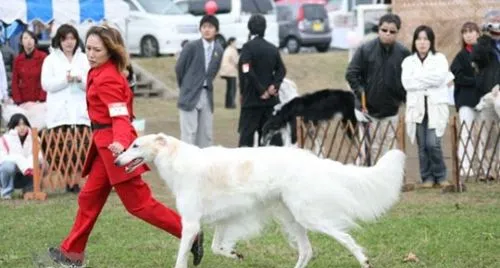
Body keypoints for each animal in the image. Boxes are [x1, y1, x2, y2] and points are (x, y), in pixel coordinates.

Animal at [114, 134, 406, 268]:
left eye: (136, 145)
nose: (116, 160)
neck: (177, 159)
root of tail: (313, 160)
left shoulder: (191, 222)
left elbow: (181, 258)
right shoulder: (224, 219)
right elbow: (218, 248)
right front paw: (235, 254)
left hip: (307, 215)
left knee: (345, 238)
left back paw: (364, 260)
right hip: (292, 218)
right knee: (307, 251)